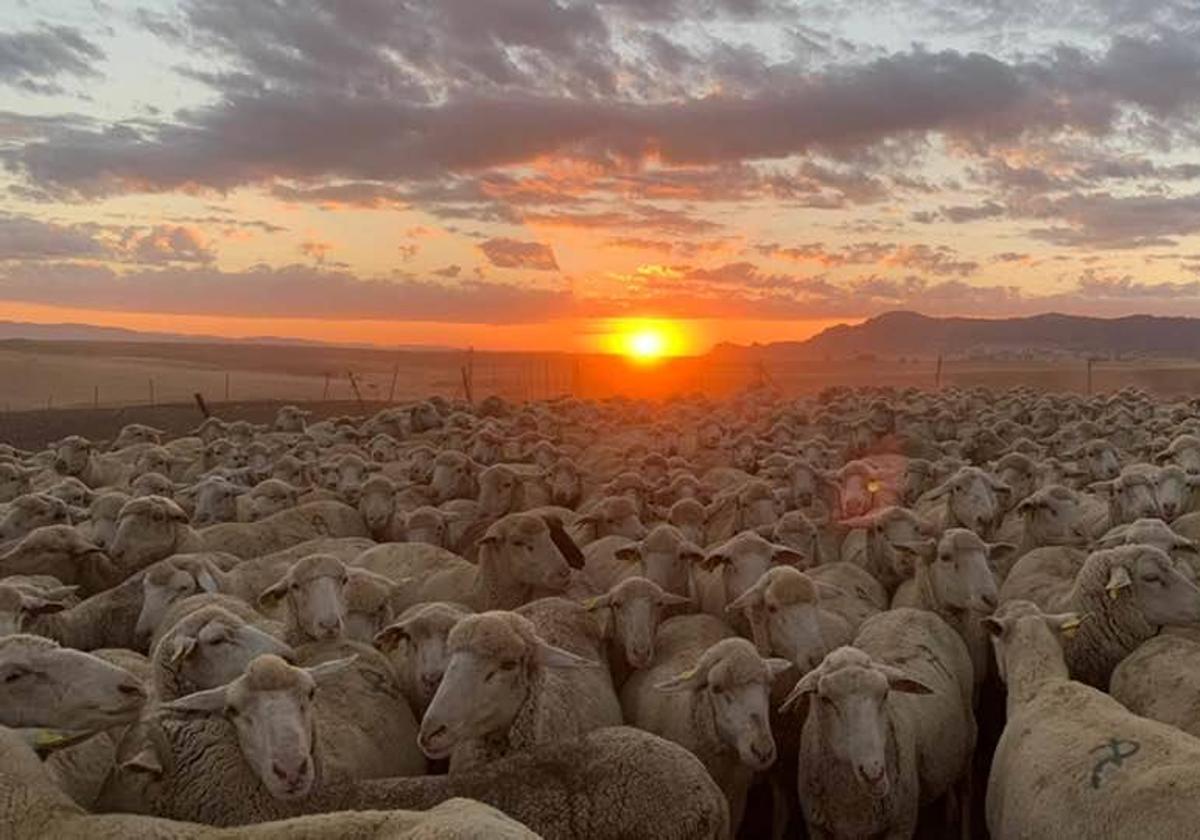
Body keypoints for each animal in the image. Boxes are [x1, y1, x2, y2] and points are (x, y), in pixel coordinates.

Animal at [782, 607, 979, 840]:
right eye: (825, 699)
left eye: (885, 693)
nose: (874, 774)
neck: (852, 804)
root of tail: (910, 610)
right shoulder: (816, 827)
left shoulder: (901, 824)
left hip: (969, 742)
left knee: (966, 791)